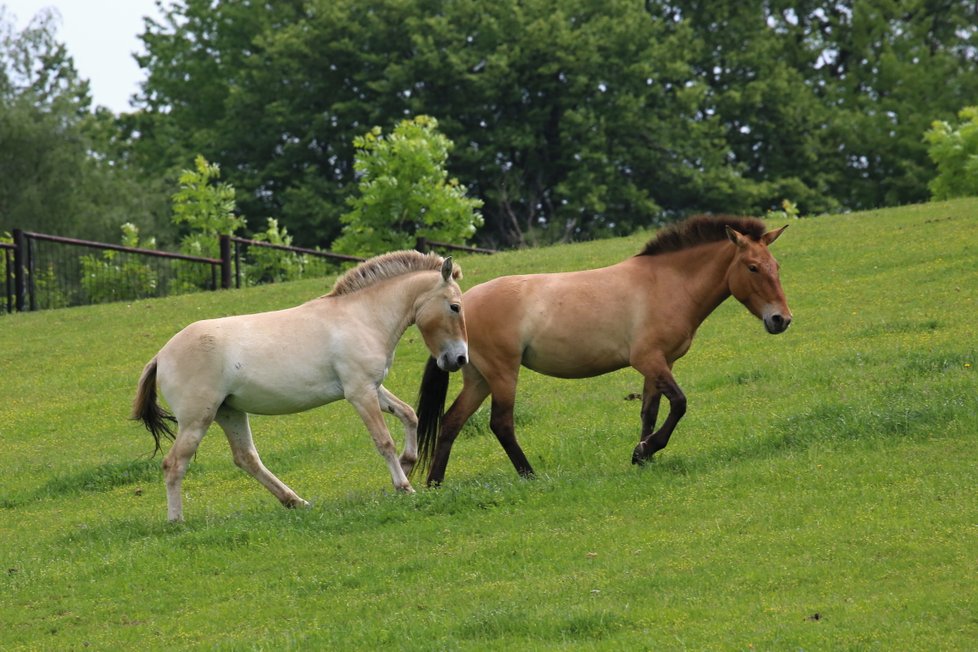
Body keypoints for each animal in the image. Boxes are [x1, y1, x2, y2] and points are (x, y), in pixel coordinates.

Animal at [132, 250, 466, 520]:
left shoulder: (372, 387)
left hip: (229, 413)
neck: (362, 317)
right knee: (174, 464)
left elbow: (409, 414)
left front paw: (407, 464)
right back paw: (176, 521)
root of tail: (161, 356)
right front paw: (404, 486)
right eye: (455, 307)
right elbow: (383, 441)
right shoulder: (359, 393)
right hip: (197, 421)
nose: (460, 358)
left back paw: (296, 502)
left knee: (247, 459)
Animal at [410, 216, 784, 486]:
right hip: (503, 374)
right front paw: (647, 449)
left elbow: (649, 412)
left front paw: (642, 455)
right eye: (752, 267)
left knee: (451, 422)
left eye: (776, 267)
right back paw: (530, 476)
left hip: (478, 378)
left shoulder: (658, 364)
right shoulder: (649, 360)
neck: (666, 283)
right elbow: (679, 403)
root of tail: (461, 304)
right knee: (501, 424)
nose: (781, 319)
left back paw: (435, 484)